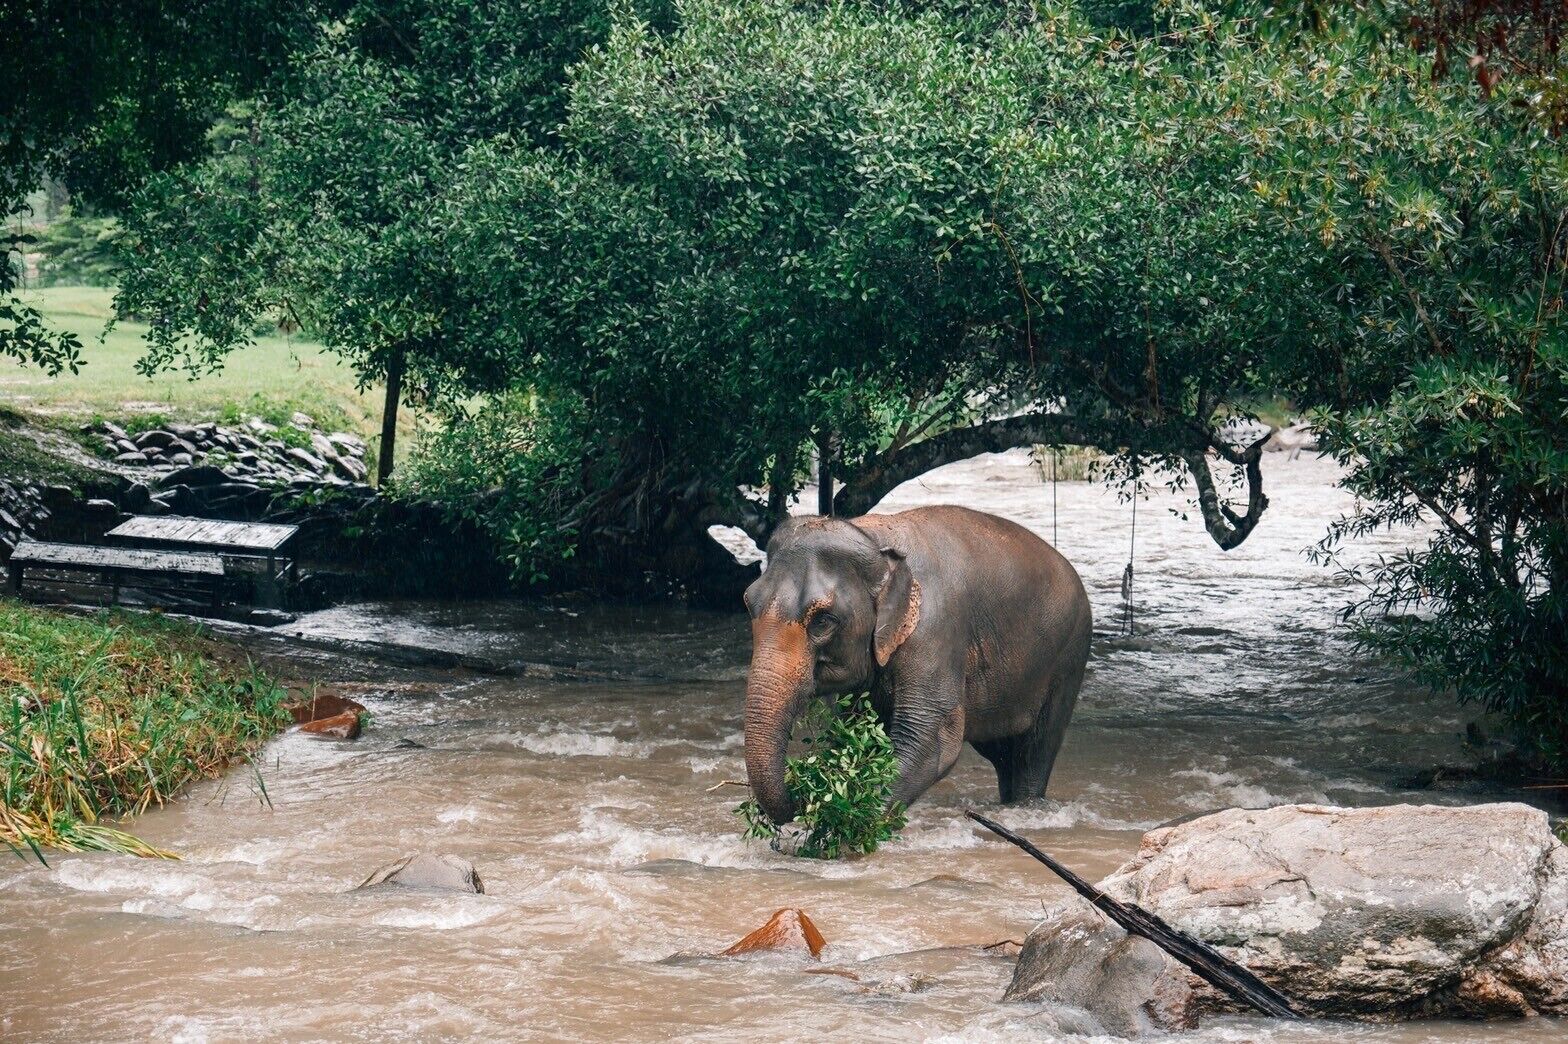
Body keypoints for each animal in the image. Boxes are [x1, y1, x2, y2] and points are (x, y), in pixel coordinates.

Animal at [742, 504, 1092, 824]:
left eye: (823, 620)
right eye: (748, 603)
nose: (798, 799)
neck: (873, 537)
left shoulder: (934, 631)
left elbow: (929, 739)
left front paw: (835, 829)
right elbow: (860, 733)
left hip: (1069, 656)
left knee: (1034, 751)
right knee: (1003, 754)